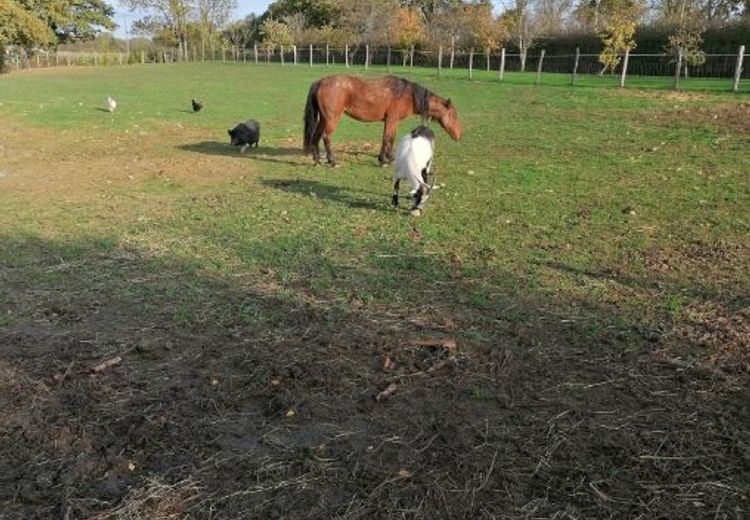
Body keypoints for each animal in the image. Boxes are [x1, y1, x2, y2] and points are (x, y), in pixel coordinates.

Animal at [302, 74, 462, 165]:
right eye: (454, 115)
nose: (459, 135)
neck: (406, 95)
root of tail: (319, 82)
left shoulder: (391, 121)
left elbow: (388, 138)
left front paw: (385, 158)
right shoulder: (392, 119)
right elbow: (388, 138)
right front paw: (386, 160)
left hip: (323, 119)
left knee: (316, 137)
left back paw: (317, 160)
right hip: (331, 119)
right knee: (326, 137)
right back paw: (332, 161)